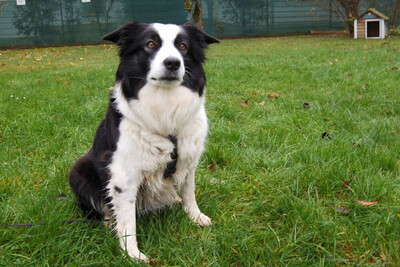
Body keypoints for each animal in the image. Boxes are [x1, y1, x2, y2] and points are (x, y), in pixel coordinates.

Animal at [68, 21, 219, 264]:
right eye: (150, 44)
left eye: (183, 46)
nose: (173, 62)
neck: (165, 108)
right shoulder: (124, 174)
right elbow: (128, 220)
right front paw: (131, 253)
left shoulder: (189, 159)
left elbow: (189, 192)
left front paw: (195, 216)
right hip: (78, 170)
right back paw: (109, 219)